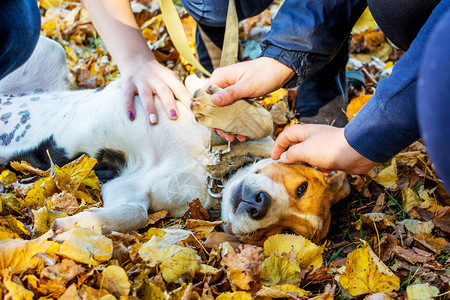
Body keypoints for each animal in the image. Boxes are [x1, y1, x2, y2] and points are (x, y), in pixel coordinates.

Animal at [0, 37, 352, 244]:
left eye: (284, 232)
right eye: (301, 186)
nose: (258, 205)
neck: (208, 170)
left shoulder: (127, 188)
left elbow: (136, 214)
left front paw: (82, 223)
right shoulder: (193, 85)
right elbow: (260, 118)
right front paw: (220, 111)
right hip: (48, 49)